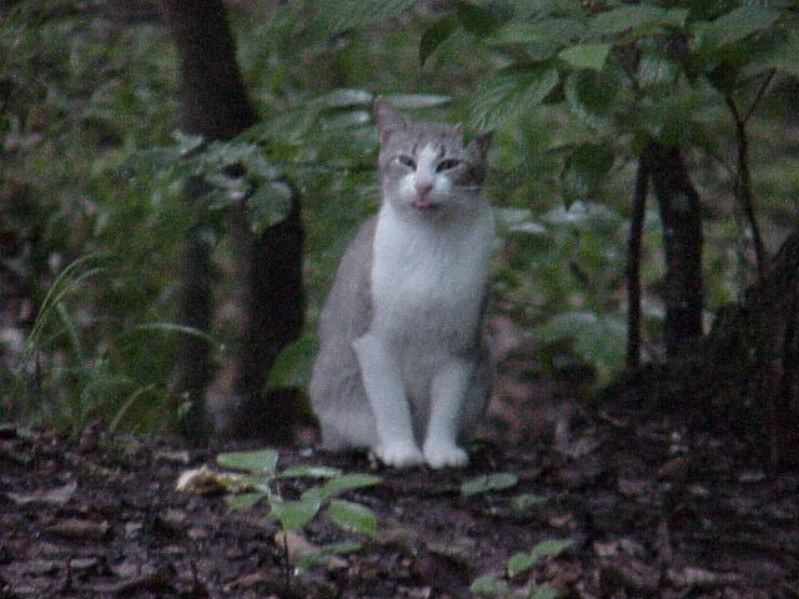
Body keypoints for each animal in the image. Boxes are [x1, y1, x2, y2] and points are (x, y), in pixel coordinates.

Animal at [310, 102, 494, 468]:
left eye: (449, 164)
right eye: (406, 161)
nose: (423, 185)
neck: (430, 245)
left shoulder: (462, 343)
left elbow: (448, 405)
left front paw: (441, 450)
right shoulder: (373, 339)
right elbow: (391, 404)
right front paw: (400, 450)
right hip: (334, 381)